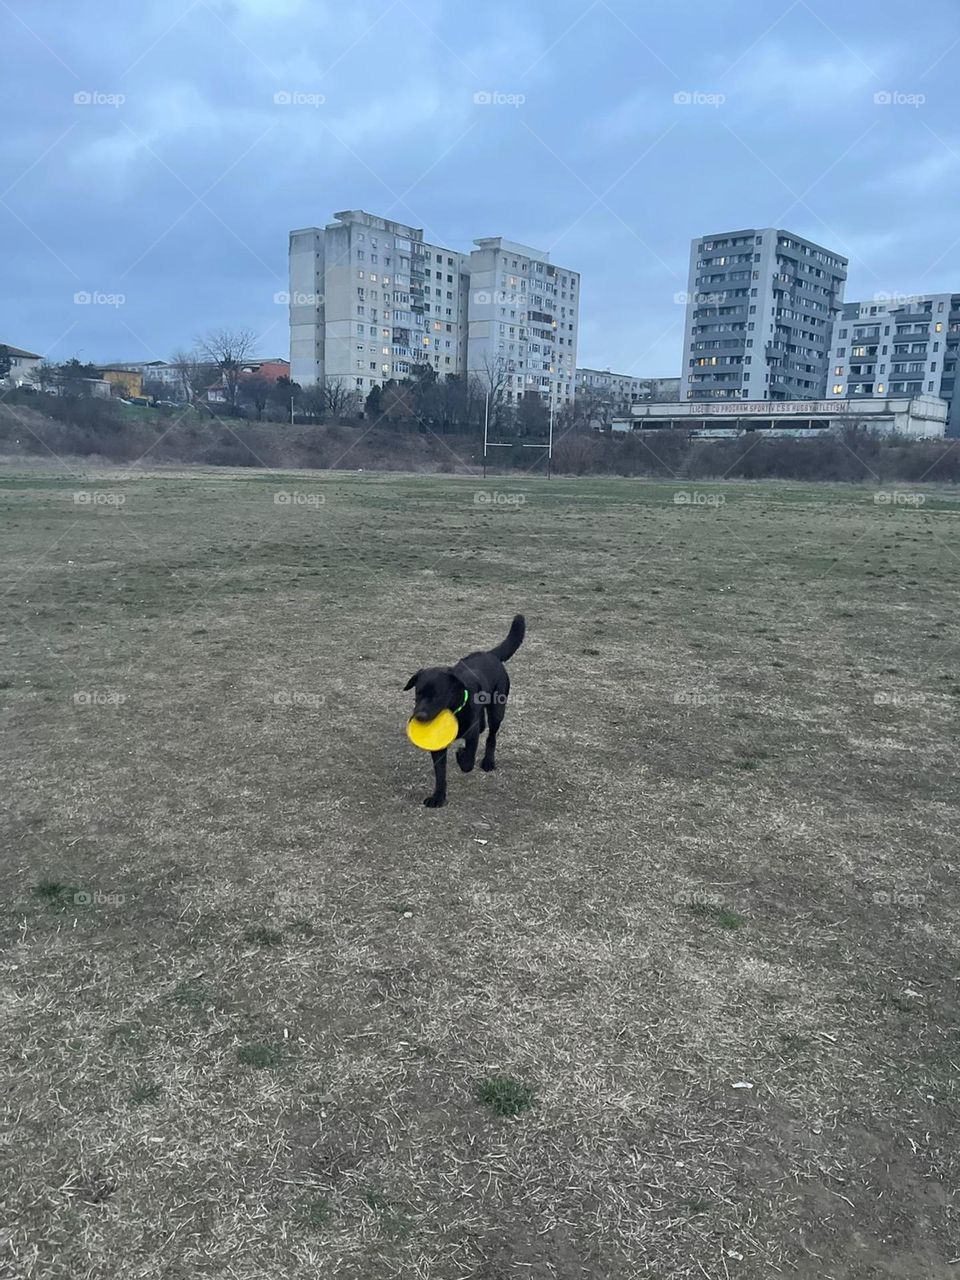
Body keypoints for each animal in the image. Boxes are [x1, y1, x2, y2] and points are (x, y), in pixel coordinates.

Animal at [404, 611, 529, 808]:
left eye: (438, 696)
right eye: (418, 694)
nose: (420, 716)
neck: (454, 711)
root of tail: (490, 655)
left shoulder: (471, 736)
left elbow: (468, 762)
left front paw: (461, 756)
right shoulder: (438, 746)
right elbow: (440, 773)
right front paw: (438, 797)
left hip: (498, 710)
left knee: (491, 736)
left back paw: (488, 761)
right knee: (483, 726)